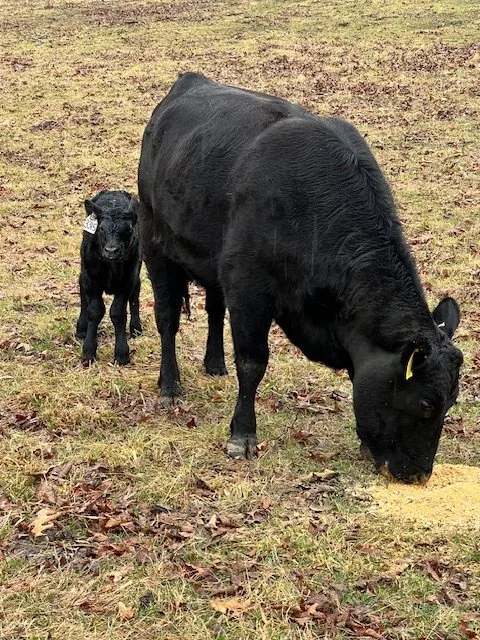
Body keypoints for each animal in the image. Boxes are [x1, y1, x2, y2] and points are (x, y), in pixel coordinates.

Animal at [75, 190, 142, 365]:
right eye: (101, 228)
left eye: (129, 229)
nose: (111, 250)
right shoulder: (91, 279)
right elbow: (95, 311)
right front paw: (88, 352)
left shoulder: (127, 280)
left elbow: (118, 313)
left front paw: (122, 353)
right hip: (84, 271)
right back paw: (81, 329)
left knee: (136, 293)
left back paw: (136, 328)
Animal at [137, 72, 463, 484]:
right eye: (425, 403)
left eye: (451, 402)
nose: (419, 475)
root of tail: (189, 82)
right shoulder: (249, 287)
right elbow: (252, 363)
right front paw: (242, 436)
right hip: (154, 240)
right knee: (167, 319)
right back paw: (170, 386)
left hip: (211, 260)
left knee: (213, 309)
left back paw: (215, 365)